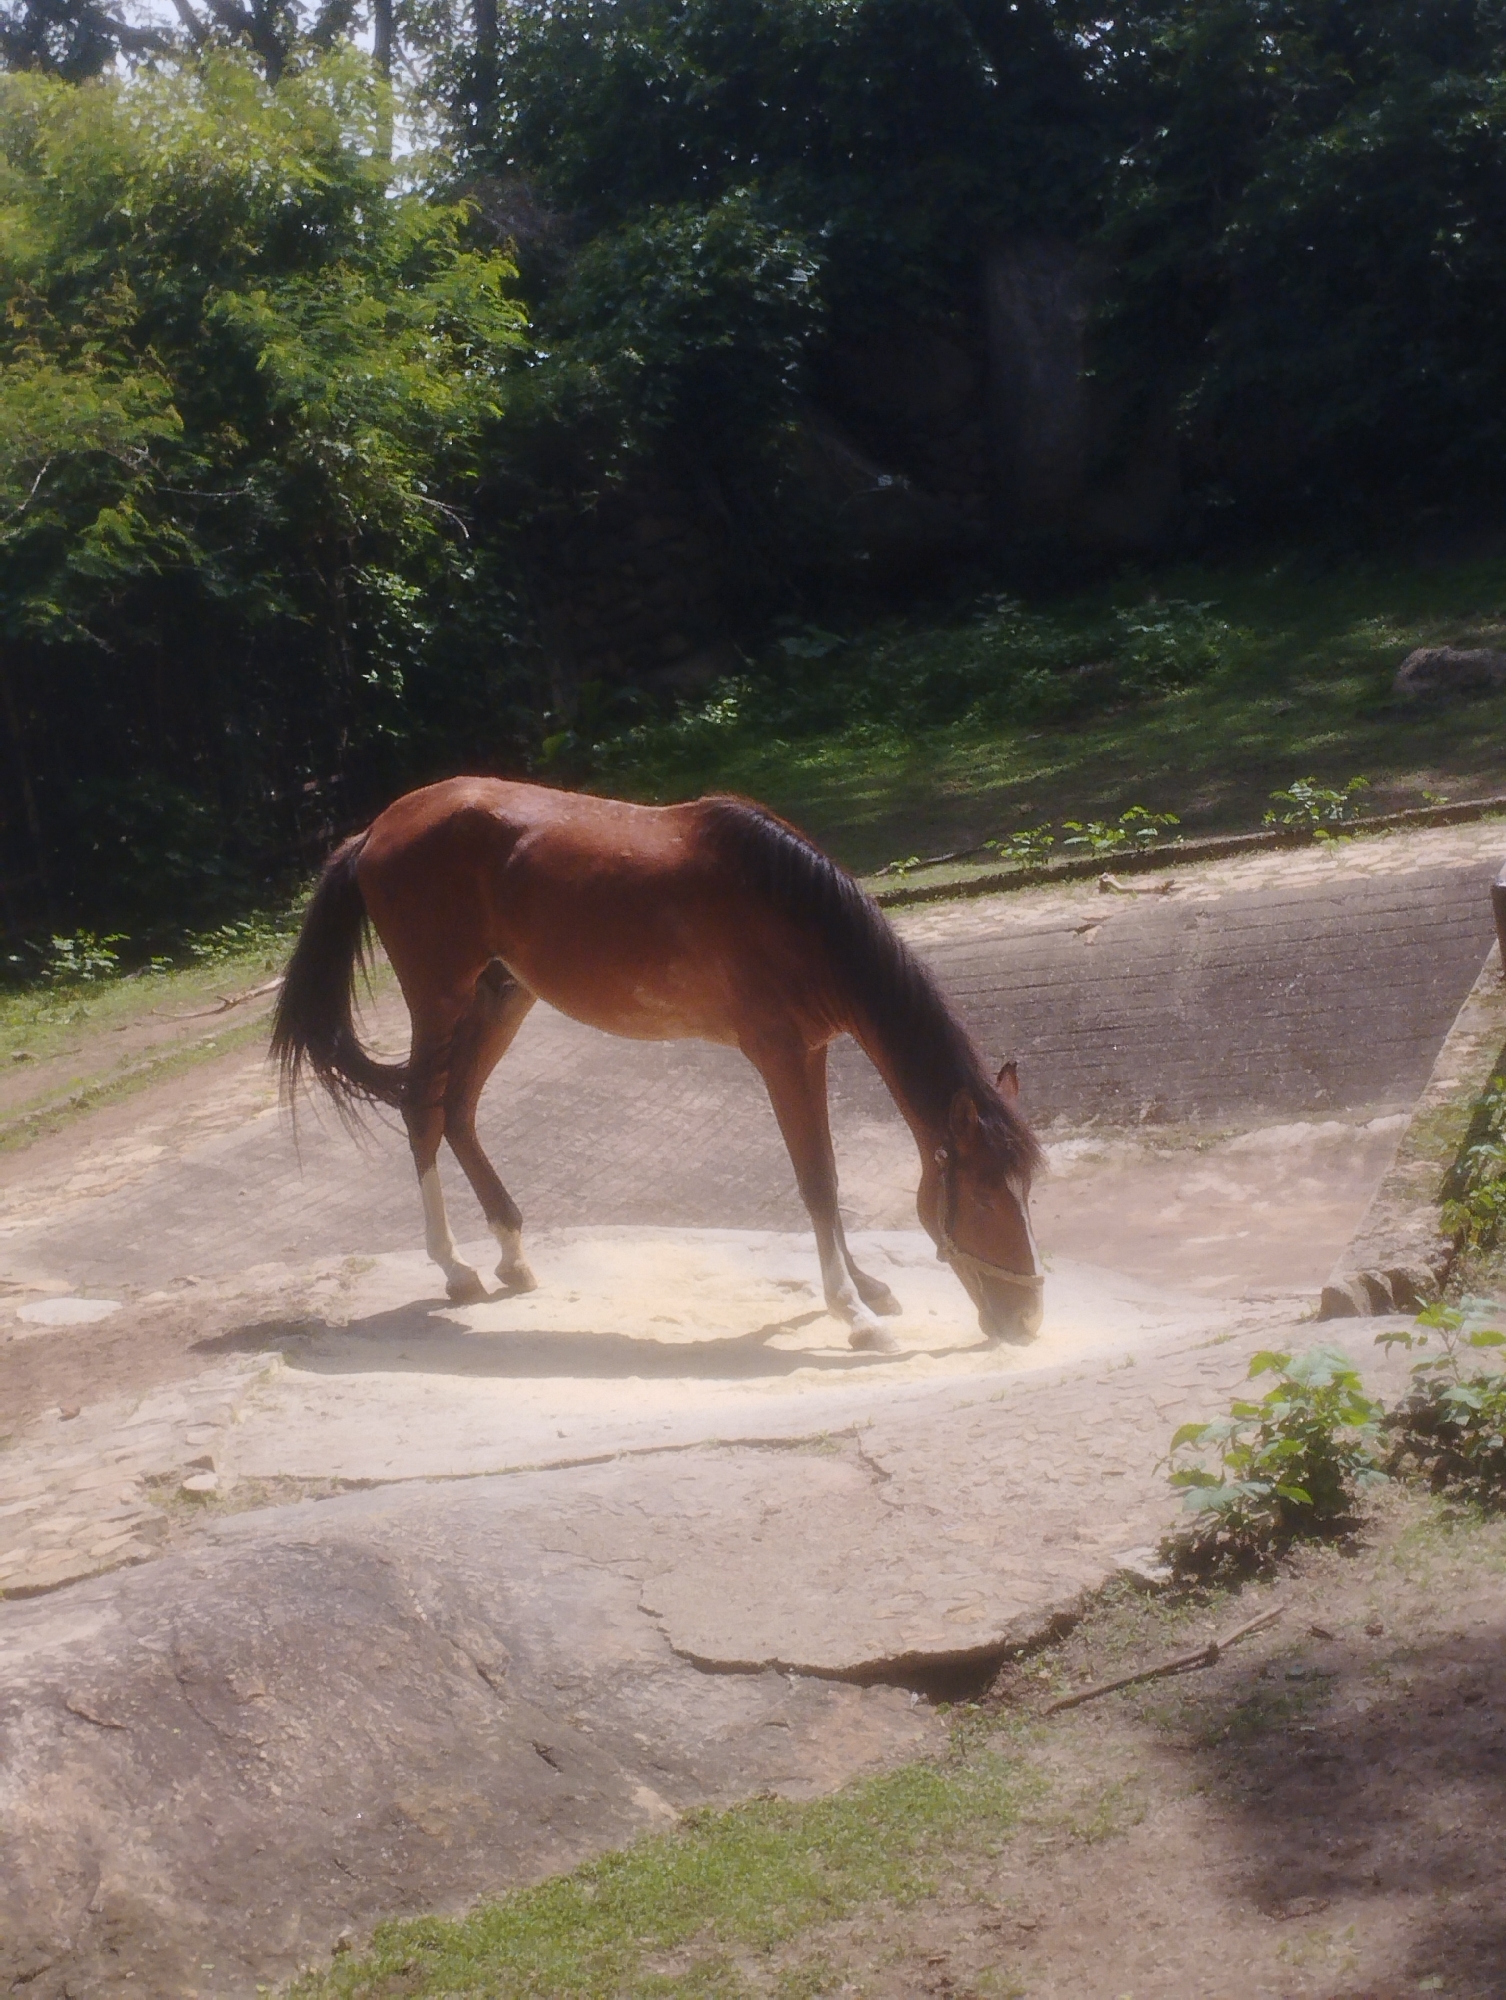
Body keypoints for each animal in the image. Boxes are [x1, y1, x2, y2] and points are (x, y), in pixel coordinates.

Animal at [270, 777, 1045, 1349]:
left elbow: (822, 1177)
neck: (790, 910)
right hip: (440, 1000)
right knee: (420, 1111)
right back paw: (455, 1267)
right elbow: (818, 1183)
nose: (1030, 1320)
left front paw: (869, 1290)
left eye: (1028, 1192)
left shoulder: (811, 1052)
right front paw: (853, 1313)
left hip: (502, 996)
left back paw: (513, 1257)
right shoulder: (781, 1055)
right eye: (982, 1198)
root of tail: (376, 830)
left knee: (458, 1109)